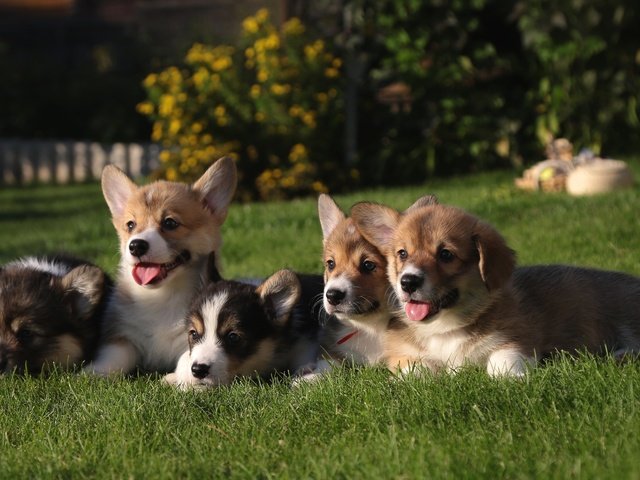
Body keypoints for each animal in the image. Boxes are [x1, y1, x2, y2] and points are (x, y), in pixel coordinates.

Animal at [88, 158, 240, 376]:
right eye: (131, 225)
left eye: (170, 223)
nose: (136, 246)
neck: (161, 297)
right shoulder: (124, 334)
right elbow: (114, 355)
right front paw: (90, 372)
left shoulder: (193, 338)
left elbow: (187, 359)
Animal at [352, 195, 640, 376]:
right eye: (402, 253)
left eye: (446, 254)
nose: (408, 282)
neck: (445, 329)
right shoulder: (404, 355)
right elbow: (417, 372)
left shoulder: (515, 340)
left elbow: (500, 366)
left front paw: (510, 379)